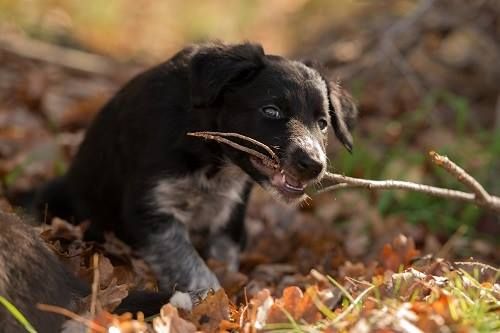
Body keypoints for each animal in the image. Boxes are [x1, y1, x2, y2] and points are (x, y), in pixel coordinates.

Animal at [37, 41, 358, 306]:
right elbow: (189, 264)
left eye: (323, 123)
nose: (314, 165)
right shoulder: (151, 207)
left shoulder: (230, 212)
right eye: (271, 110)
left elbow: (223, 256)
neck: (210, 155)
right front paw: (210, 299)